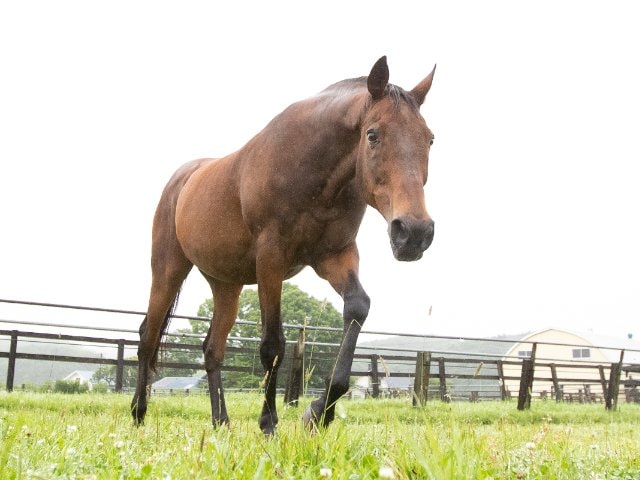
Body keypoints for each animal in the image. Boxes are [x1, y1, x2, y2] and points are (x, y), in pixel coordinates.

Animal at [131, 56, 437, 434]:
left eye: (430, 139)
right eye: (372, 134)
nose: (414, 231)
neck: (312, 174)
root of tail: (182, 180)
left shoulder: (336, 256)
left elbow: (357, 308)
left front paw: (318, 412)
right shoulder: (271, 258)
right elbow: (273, 344)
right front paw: (269, 424)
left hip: (226, 285)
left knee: (212, 349)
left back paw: (221, 423)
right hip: (168, 270)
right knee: (148, 336)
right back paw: (138, 414)